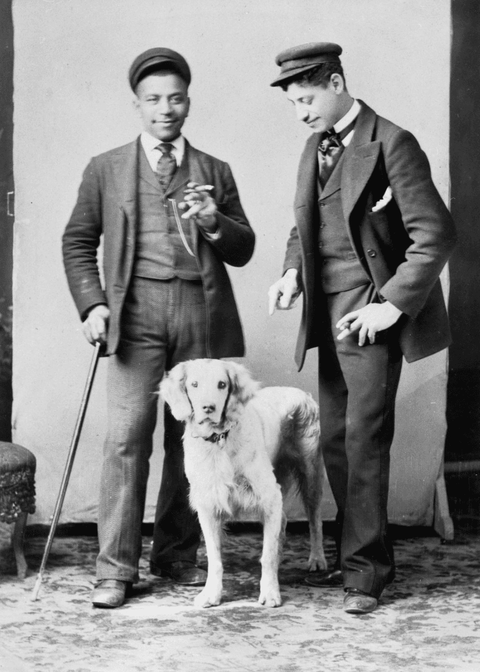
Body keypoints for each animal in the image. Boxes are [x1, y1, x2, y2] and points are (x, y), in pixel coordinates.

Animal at [160, 360, 326, 608]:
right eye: (194, 384)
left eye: (222, 384)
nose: (208, 408)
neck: (219, 442)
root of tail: (302, 393)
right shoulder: (207, 505)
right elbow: (215, 557)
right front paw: (211, 594)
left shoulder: (269, 496)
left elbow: (266, 556)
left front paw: (270, 593)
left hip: (310, 474)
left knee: (315, 520)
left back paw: (317, 559)